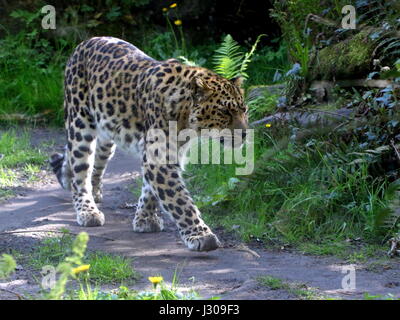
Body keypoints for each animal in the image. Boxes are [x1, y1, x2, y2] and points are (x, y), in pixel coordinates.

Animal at [50, 37, 248, 252]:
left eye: (244, 110)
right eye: (225, 112)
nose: (245, 133)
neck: (186, 118)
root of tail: (85, 42)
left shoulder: (169, 154)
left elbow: (150, 189)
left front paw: (145, 219)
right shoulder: (158, 158)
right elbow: (179, 200)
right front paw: (201, 235)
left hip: (106, 135)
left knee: (94, 163)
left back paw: (95, 191)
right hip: (80, 123)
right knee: (80, 171)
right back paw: (87, 210)